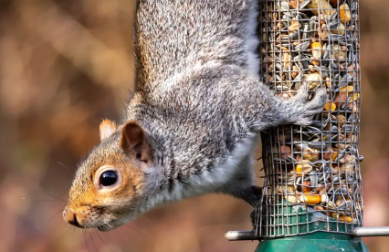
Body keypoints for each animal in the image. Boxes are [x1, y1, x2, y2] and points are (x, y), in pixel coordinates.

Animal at [63, 0, 324, 231]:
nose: (69, 216)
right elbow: (245, 189)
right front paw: (260, 206)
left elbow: (261, 104)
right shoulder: (230, 176)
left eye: (108, 178)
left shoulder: (218, 101)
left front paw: (297, 108)